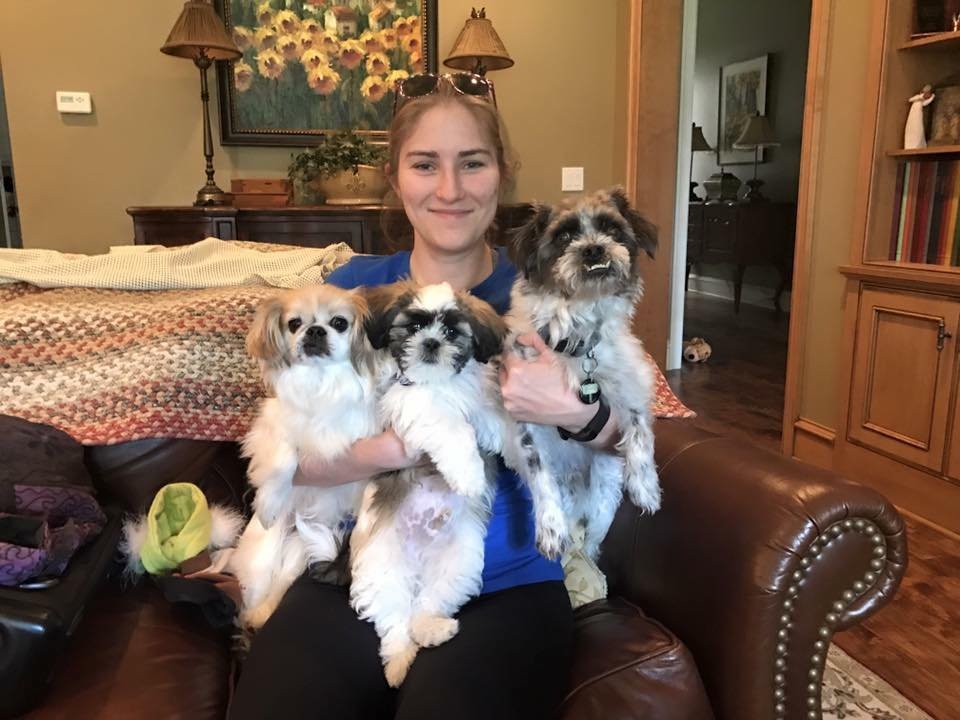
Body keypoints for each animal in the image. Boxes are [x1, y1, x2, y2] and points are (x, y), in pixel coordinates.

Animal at [232, 284, 378, 628]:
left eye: (339, 323)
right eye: (294, 324)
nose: (315, 330)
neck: (320, 381)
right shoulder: (272, 425)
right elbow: (285, 457)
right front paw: (269, 503)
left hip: (300, 551)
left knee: (279, 585)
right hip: (262, 556)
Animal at [346, 282, 510, 688]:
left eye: (452, 331)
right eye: (415, 326)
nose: (432, 343)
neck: (440, 383)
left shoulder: (479, 396)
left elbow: (494, 416)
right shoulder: (410, 402)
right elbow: (449, 426)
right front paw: (468, 474)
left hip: (458, 560)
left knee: (428, 603)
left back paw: (432, 630)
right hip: (380, 565)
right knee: (393, 620)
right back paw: (398, 661)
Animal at [510, 188, 660, 560]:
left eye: (612, 229)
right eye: (564, 236)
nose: (594, 248)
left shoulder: (633, 386)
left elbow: (640, 431)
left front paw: (645, 486)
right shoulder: (524, 423)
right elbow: (539, 473)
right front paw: (549, 527)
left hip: (603, 504)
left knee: (592, 541)